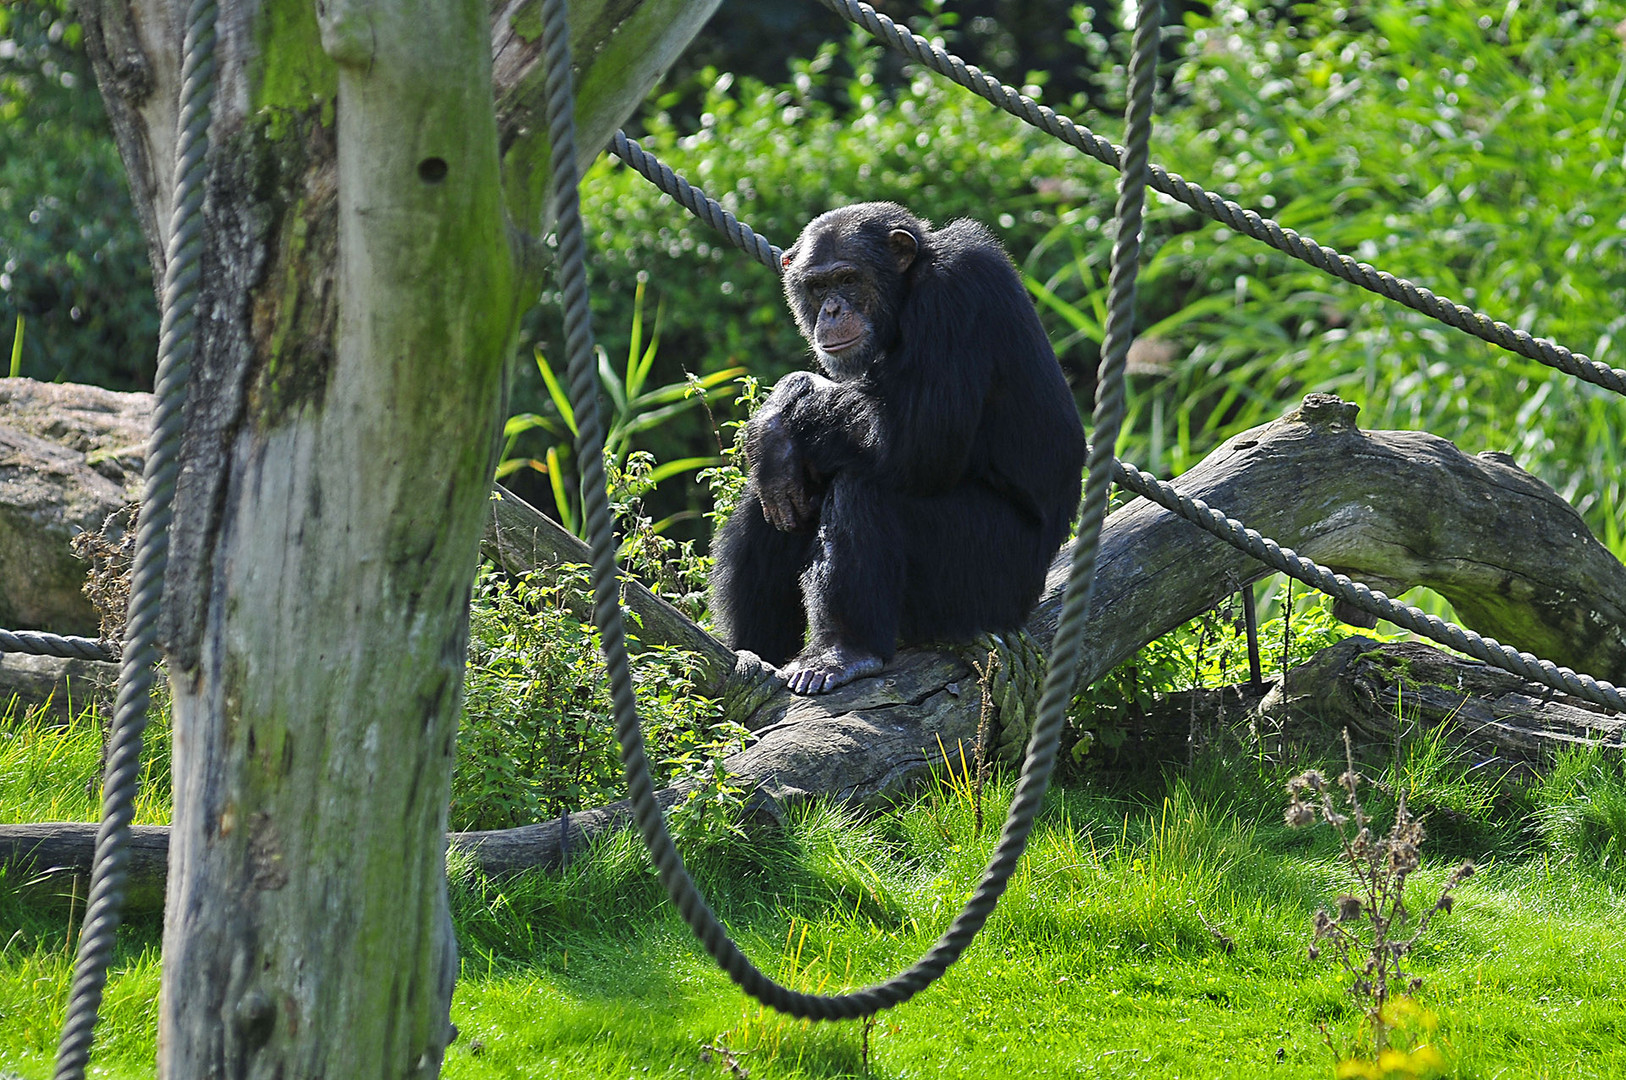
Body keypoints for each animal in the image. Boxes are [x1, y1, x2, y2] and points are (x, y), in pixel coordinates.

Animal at [715, 201, 1086, 692]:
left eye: (848, 279)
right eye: (818, 286)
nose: (831, 309)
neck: (906, 292)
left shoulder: (953, 293)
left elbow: (915, 441)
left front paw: (783, 410)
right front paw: (775, 429)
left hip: (985, 582)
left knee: (865, 491)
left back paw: (842, 651)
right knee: (778, 496)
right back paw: (754, 659)